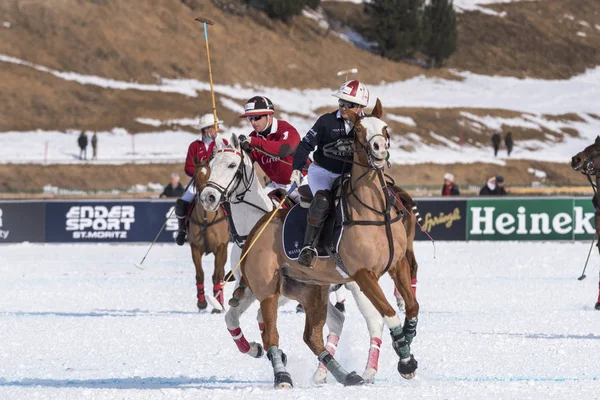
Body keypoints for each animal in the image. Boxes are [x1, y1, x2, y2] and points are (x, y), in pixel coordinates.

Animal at [188, 159, 230, 312]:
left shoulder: (220, 247)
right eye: (195, 175)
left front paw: (217, 306)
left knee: (221, 274)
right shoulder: (194, 247)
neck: (206, 218)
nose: (207, 197)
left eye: (211, 172)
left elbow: (217, 276)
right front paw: (201, 303)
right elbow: (200, 275)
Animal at [202, 97, 418, 388]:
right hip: (313, 287)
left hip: (340, 287)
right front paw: (259, 350)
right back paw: (330, 372)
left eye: (232, 166)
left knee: (370, 320)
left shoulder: (378, 270)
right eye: (211, 164)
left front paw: (406, 354)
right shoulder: (256, 286)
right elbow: (233, 317)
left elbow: (401, 310)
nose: (208, 197)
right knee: (324, 327)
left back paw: (362, 372)